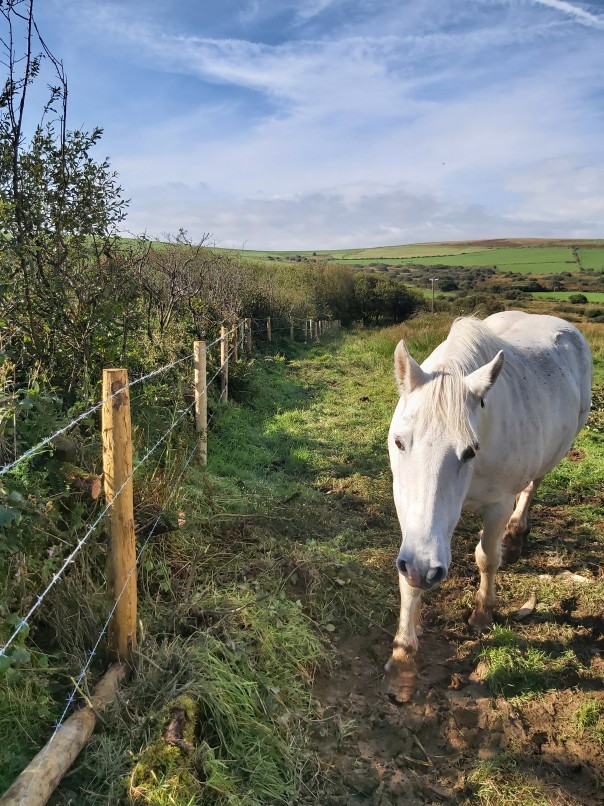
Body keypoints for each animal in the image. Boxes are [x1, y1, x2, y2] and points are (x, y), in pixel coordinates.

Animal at [386, 312, 588, 704]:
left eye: (469, 451)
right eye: (400, 442)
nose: (423, 570)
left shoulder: (497, 505)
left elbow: (487, 558)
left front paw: (482, 613)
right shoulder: (410, 513)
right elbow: (409, 581)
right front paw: (403, 658)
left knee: (532, 485)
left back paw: (515, 536)